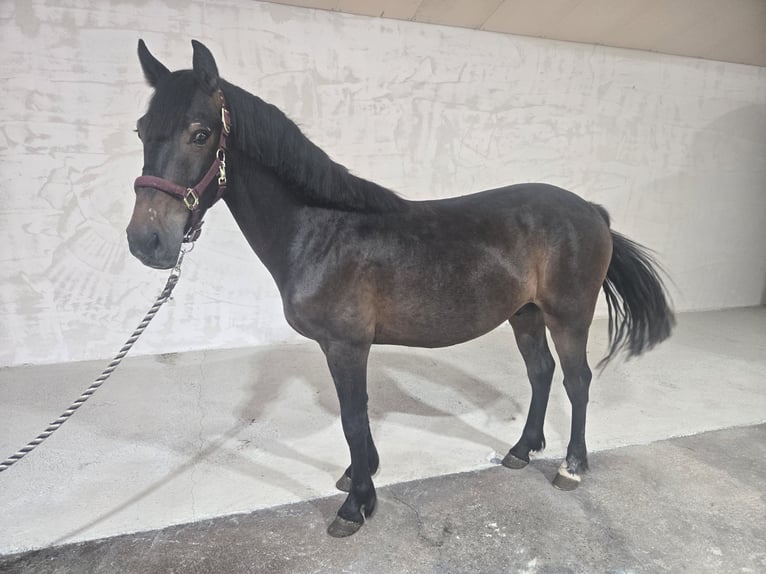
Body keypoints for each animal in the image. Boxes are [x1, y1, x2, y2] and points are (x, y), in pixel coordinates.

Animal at [126, 40, 674, 537]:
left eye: (200, 133)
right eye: (141, 130)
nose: (146, 241)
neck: (322, 228)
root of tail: (591, 210)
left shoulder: (347, 344)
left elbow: (352, 417)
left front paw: (357, 505)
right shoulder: (342, 347)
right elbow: (358, 415)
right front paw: (359, 475)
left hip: (568, 315)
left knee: (577, 380)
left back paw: (571, 467)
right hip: (525, 312)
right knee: (540, 373)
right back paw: (521, 450)